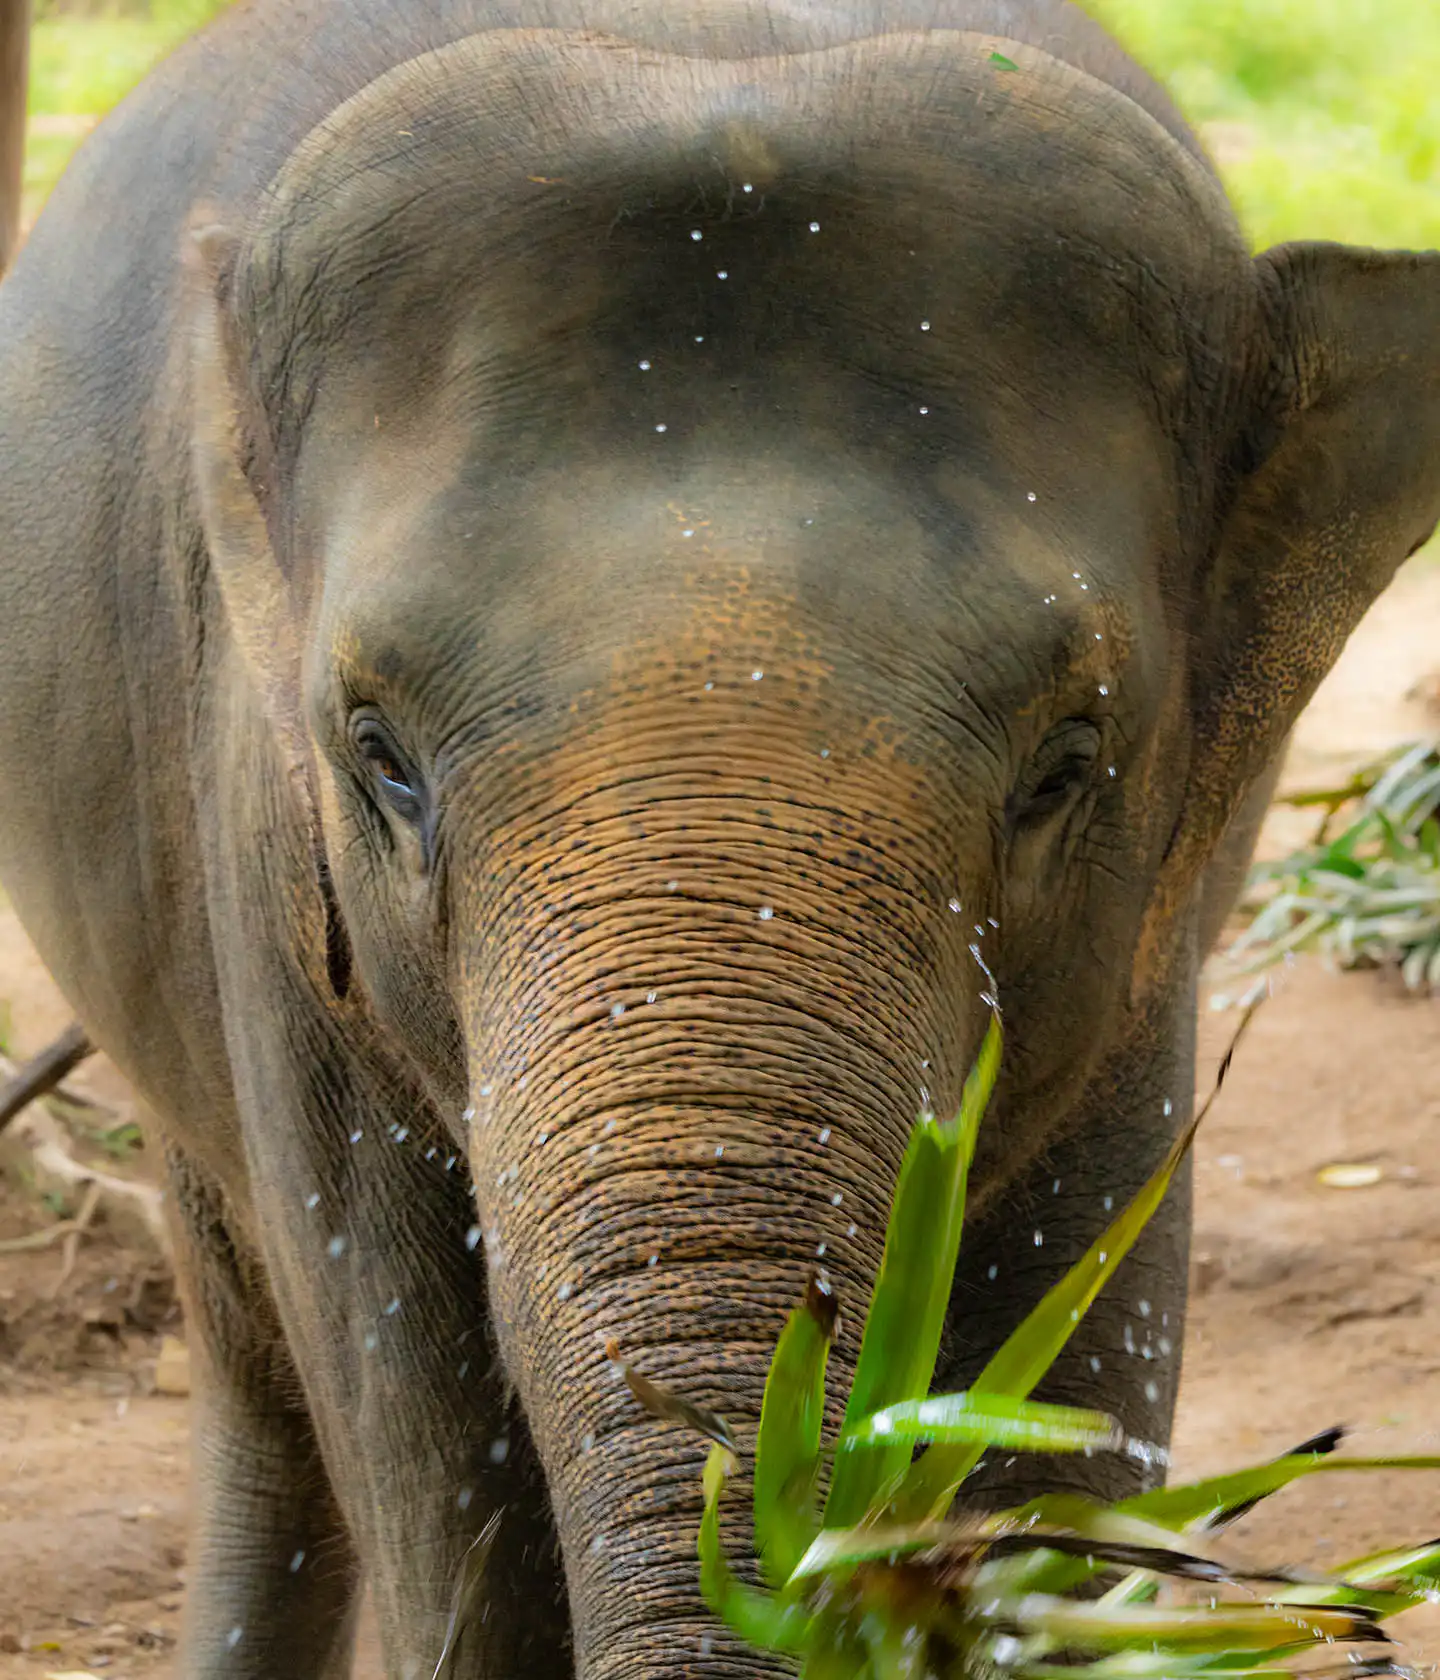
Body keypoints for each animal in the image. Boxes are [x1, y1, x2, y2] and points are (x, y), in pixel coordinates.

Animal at [0, 1, 1436, 1675]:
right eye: (379, 757)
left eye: (1068, 764)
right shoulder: (278, 890)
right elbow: (449, 1506)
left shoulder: (1147, 969)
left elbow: (1064, 1421)